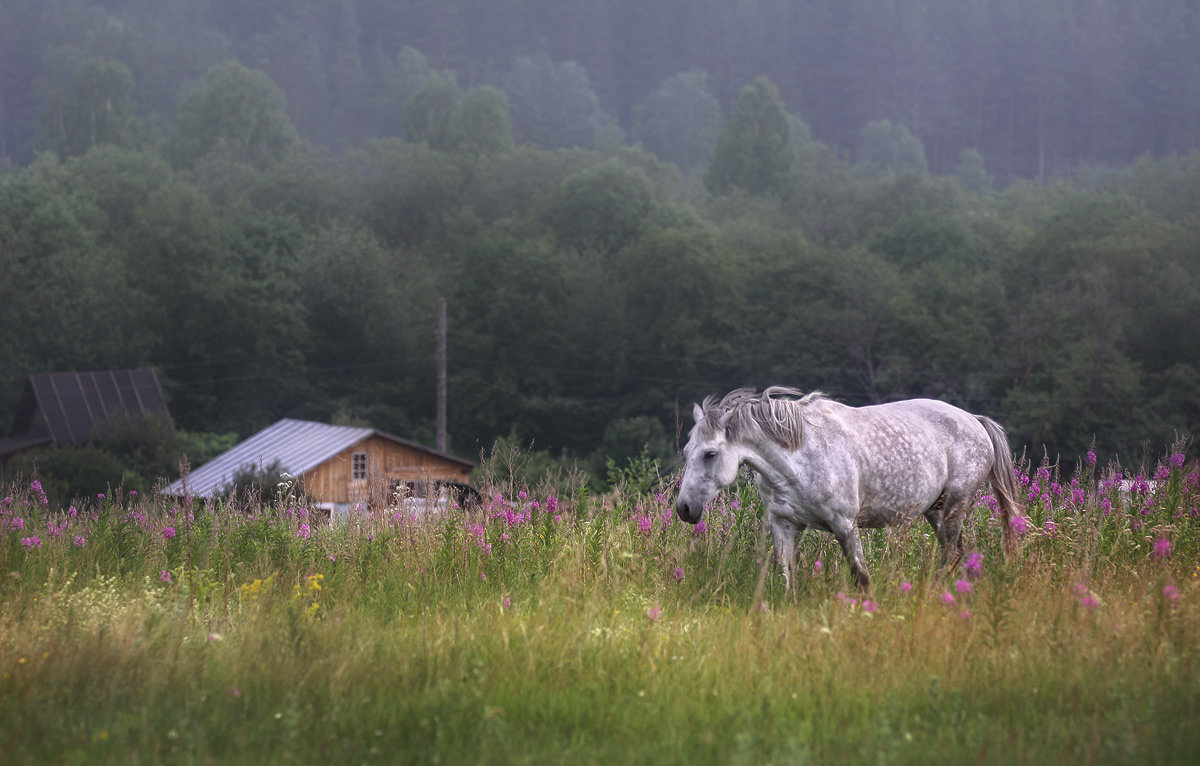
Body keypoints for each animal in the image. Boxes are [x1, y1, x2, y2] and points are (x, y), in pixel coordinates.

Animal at [676, 386, 1022, 590]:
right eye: (687, 451)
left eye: (710, 454)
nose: (684, 509)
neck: (799, 455)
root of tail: (975, 420)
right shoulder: (783, 523)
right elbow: (786, 575)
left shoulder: (844, 525)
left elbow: (861, 578)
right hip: (936, 511)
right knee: (956, 555)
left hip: (955, 505)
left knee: (950, 553)